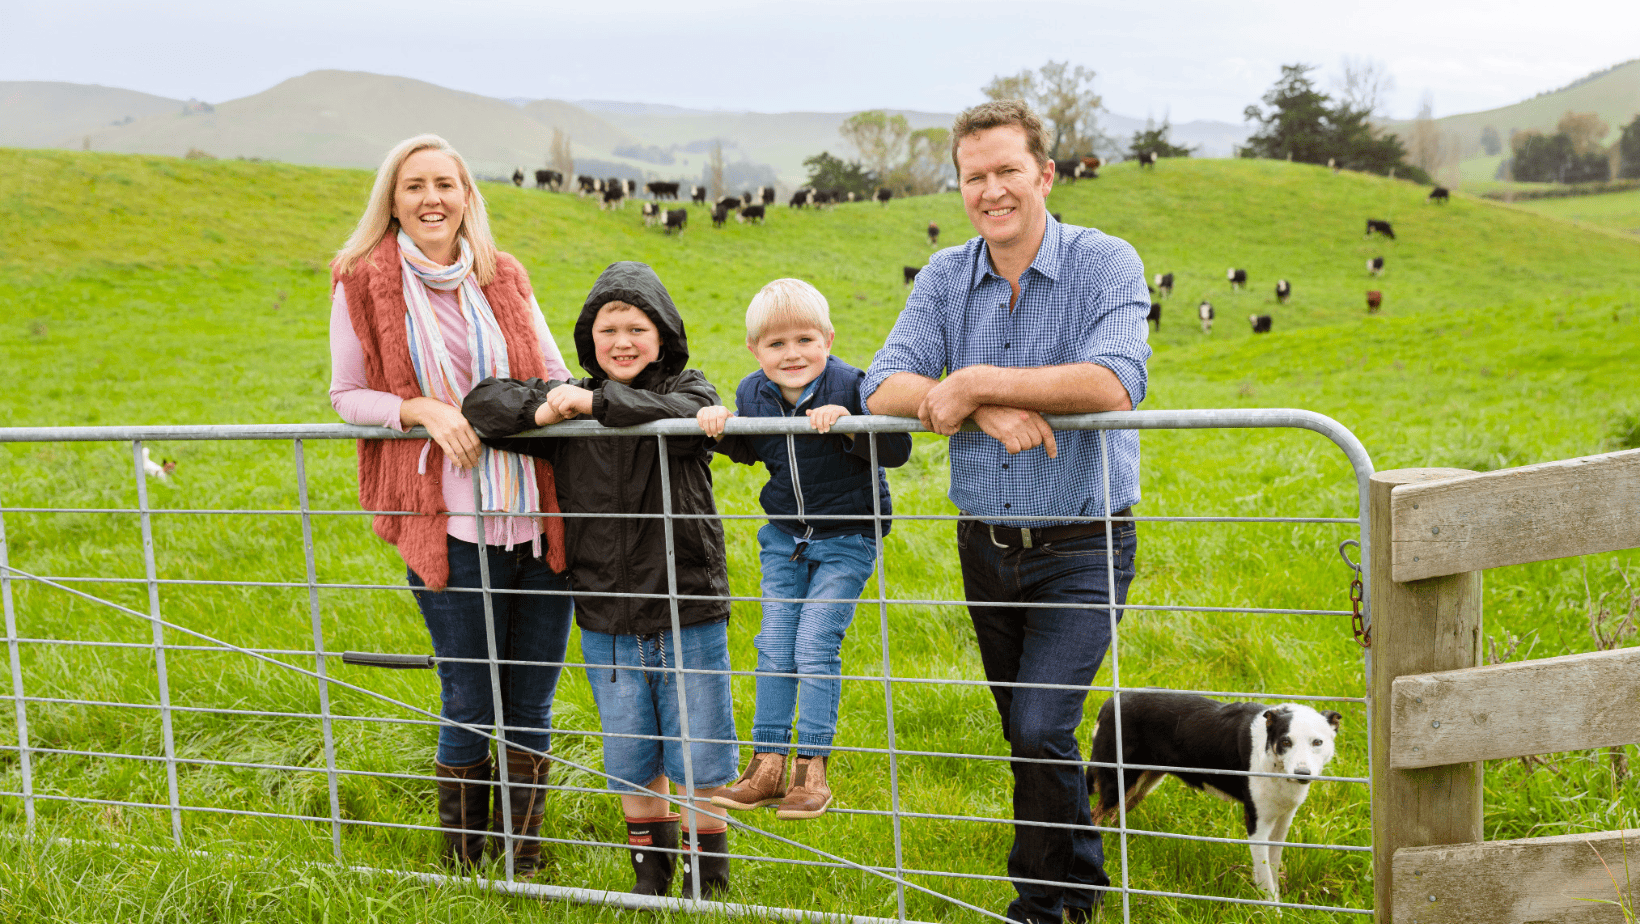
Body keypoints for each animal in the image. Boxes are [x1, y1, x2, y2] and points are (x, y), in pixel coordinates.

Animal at [1082, 695, 1338, 905]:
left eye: (1317, 743)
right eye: (1286, 742)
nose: (1302, 774)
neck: (1273, 761)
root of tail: (1109, 703)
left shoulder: (1283, 821)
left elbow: (1272, 867)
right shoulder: (1257, 824)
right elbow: (1265, 876)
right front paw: (1272, 911)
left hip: (1141, 784)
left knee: (1115, 817)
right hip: (1118, 780)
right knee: (1096, 816)